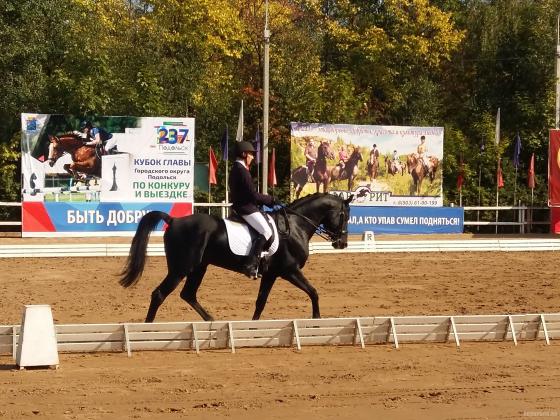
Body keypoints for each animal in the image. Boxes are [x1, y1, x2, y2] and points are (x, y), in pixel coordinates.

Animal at [120, 193, 352, 322]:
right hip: (181, 269)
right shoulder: (290, 271)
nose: (342, 243)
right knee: (159, 294)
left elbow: (260, 302)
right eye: (345, 216)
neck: (295, 227)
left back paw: (210, 321)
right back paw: (148, 328)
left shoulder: (271, 274)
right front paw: (317, 319)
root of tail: (174, 220)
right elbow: (314, 292)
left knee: (188, 294)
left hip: (199, 268)